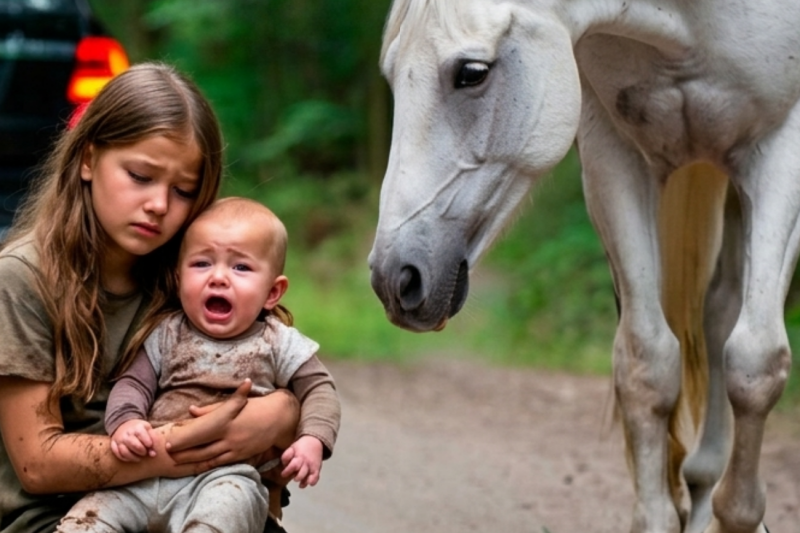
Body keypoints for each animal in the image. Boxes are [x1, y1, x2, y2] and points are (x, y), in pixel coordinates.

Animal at [367, 1, 800, 532]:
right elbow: (646, 362)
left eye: (471, 73)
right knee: (718, 309)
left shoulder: (783, 148)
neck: (693, 23)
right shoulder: (613, 154)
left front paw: (739, 517)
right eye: (391, 75)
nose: (395, 279)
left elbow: (757, 363)